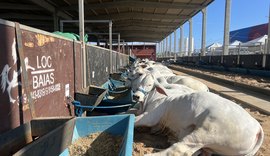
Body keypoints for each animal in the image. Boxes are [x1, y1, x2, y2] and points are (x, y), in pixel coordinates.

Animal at [133, 74, 264, 155]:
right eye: (136, 83)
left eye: (150, 85)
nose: (136, 96)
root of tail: (258, 128)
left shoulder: (151, 116)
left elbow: (135, 119)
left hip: (206, 133)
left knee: (179, 149)